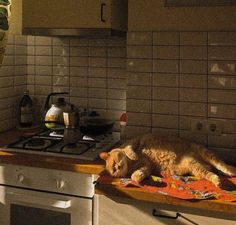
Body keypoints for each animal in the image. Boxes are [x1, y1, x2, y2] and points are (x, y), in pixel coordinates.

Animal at [100, 133, 236, 187]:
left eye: (114, 163)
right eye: (114, 170)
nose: (117, 167)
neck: (131, 165)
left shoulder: (134, 141)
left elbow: (129, 150)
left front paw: (133, 155)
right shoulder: (148, 167)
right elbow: (139, 174)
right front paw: (137, 176)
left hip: (206, 154)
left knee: (222, 165)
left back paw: (231, 171)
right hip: (196, 169)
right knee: (211, 174)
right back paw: (218, 181)